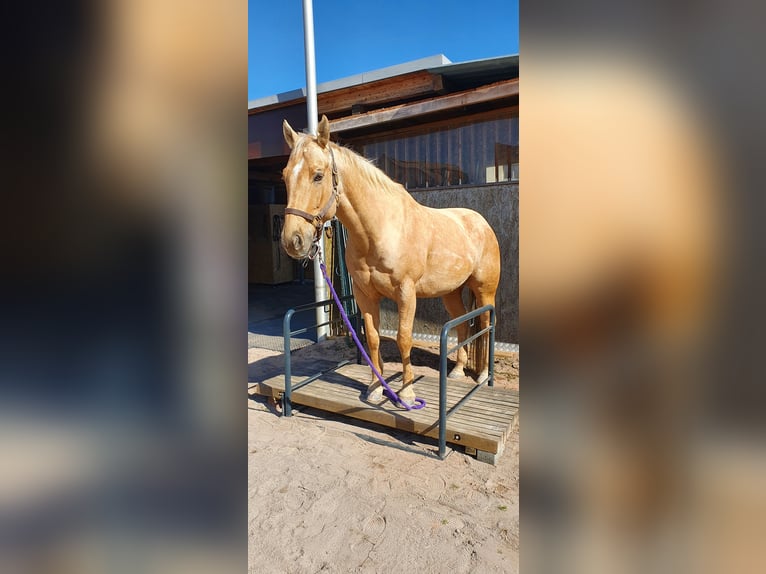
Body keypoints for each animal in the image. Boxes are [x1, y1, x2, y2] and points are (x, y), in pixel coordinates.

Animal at [280, 116, 500, 404]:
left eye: (318, 175)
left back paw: (483, 375)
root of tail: (481, 223)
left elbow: (403, 338)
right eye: (284, 176)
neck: (381, 229)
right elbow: (373, 338)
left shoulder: (406, 293)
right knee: (463, 324)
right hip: (451, 292)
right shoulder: (365, 294)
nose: (292, 241)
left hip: (484, 291)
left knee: (485, 325)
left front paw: (406, 393)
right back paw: (457, 371)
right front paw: (375, 388)